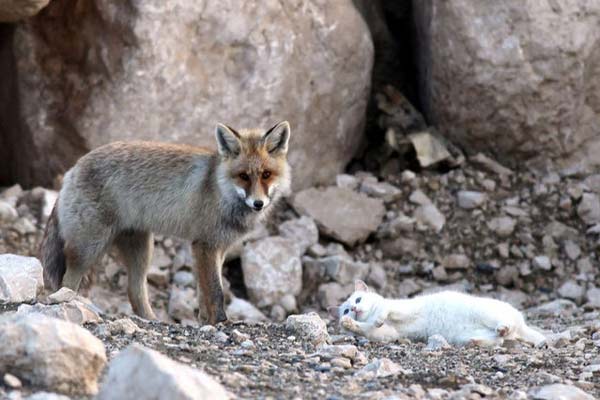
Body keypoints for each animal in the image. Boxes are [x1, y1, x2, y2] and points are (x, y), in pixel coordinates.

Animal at [38, 120, 292, 324]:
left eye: (266, 174)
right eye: (244, 176)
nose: (258, 203)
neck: (220, 189)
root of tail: (73, 168)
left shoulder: (216, 248)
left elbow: (204, 293)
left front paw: (205, 322)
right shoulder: (205, 245)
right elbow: (216, 292)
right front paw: (221, 322)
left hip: (142, 249)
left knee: (134, 291)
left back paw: (152, 320)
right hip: (88, 248)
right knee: (67, 282)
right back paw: (68, 305)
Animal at [330, 280, 548, 346]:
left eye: (358, 300)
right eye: (346, 310)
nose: (354, 309)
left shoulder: (402, 309)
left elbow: (385, 310)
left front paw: (378, 319)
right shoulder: (389, 334)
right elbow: (367, 329)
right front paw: (349, 324)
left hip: (488, 314)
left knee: (505, 326)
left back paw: (502, 328)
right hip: (465, 334)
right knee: (499, 340)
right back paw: (475, 342)